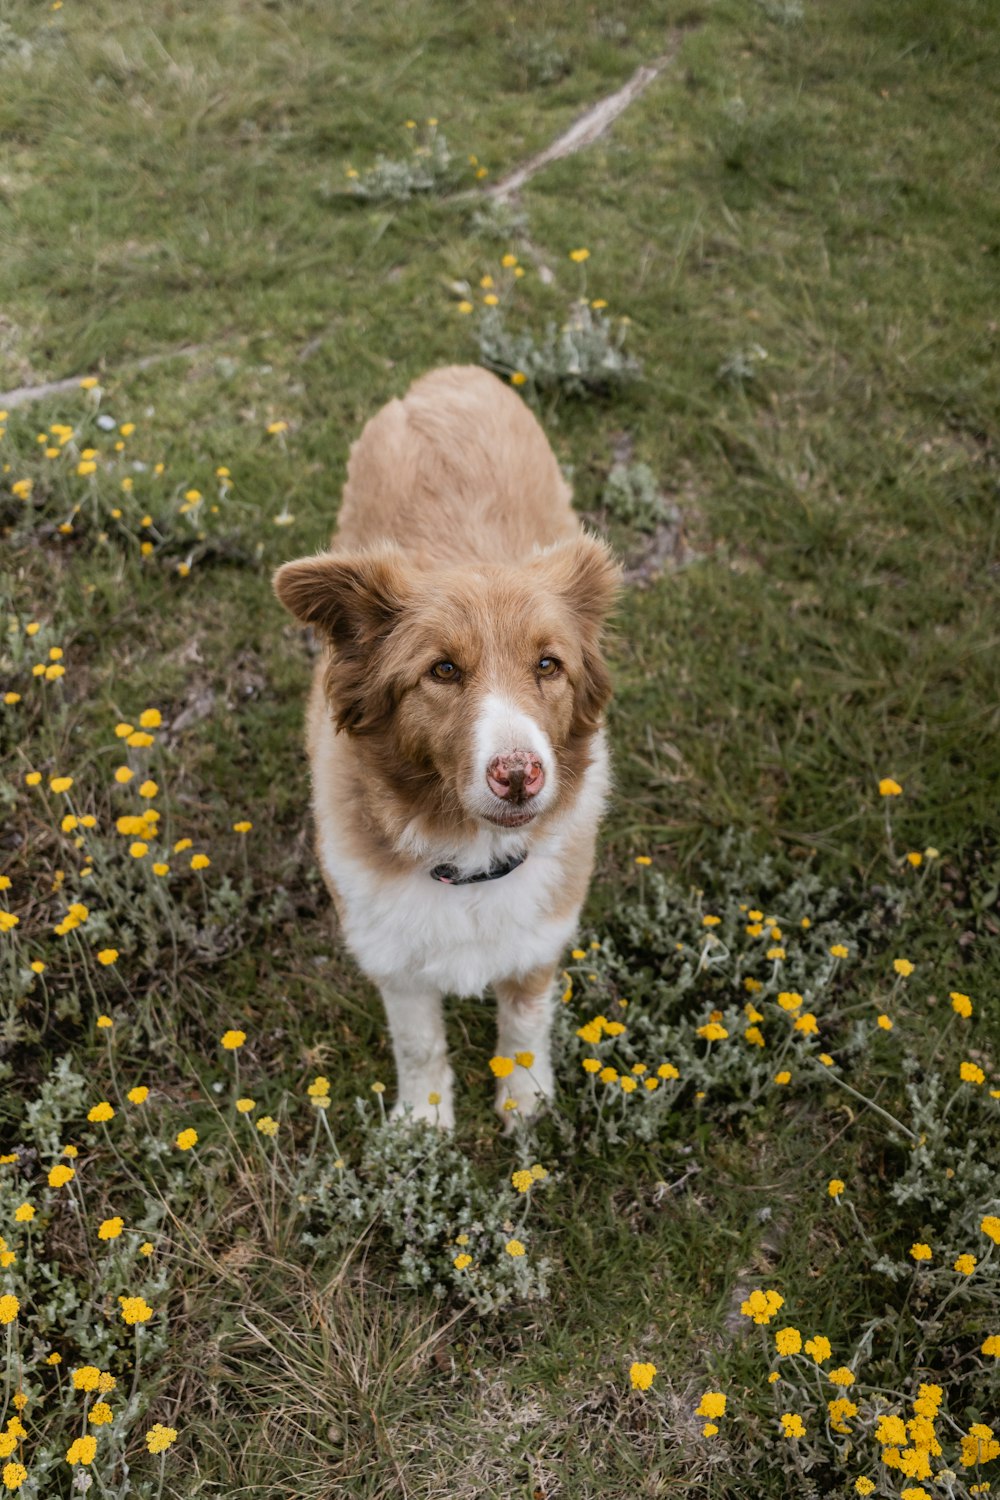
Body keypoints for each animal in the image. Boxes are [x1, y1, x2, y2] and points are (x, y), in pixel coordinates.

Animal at [274, 366, 617, 1128]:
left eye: (547, 665)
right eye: (443, 671)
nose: (519, 775)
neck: (468, 857)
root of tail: (443, 379)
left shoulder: (539, 938)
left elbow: (524, 1022)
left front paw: (526, 1102)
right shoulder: (391, 953)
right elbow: (419, 1040)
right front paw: (423, 1123)